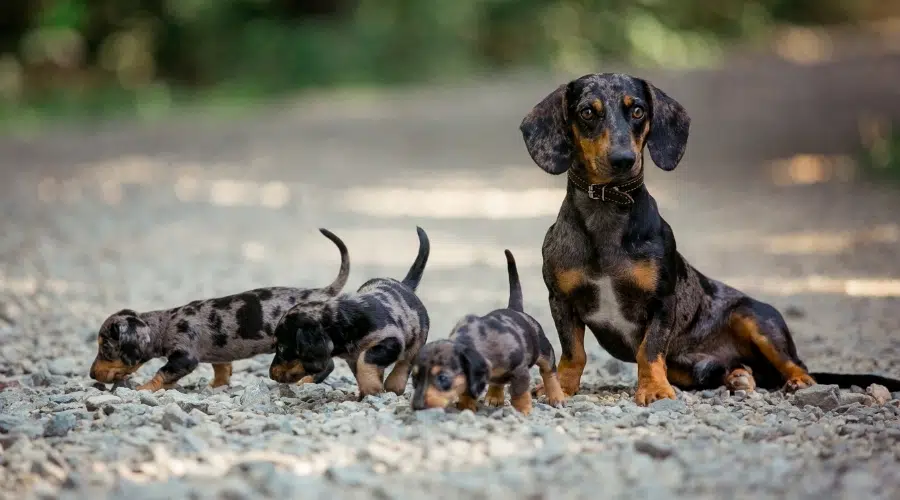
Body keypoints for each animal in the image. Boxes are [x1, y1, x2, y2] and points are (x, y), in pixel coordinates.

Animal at [87, 229, 348, 392]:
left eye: (106, 348)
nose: (90, 375)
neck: (165, 324)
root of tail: (321, 293)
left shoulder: (184, 358)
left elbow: (161, 373)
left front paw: (145, 388)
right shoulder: (219, 357)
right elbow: (221, 371)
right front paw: (214, 387)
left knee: (328, 365)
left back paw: (308, 379)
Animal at [268, 227, 430, 402]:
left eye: (282, 347)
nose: (270, 374)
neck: (346, 322)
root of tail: (405, 285)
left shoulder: (390, 341)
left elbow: (365, 360)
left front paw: (371, 389)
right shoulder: (352, 359)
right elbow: (360, 369)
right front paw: (365, 393)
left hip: (417, 339)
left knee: (406, 362)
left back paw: (394, 385)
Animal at [414, 250, 568, 418]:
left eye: (443, 377)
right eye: (414, 378)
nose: (417, 406)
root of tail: (514, 309)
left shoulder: (520, 371)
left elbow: (520, 392)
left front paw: (522, 411)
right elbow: (467, 391)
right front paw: (465, 406)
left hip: (545, 351)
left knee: (549, 372)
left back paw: (556, 396)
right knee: (498, 382)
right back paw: (494, 397)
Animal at [516, 71, 900, 406]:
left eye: (637, 110)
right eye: (587, 112)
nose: (624, 160)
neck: (607, 212)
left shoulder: (662, 301)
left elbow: (648, 350)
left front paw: (654, 390)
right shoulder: (561, 300)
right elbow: (573, 352)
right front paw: (562, 387)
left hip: (756, 318)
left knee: (797, 365)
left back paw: (796, 382)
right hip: (690, 368)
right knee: (731, 370)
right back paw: (739, 377)